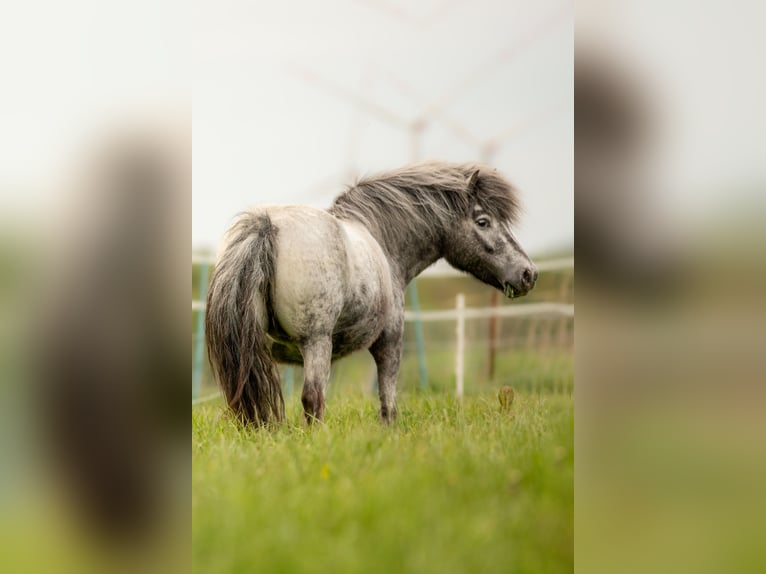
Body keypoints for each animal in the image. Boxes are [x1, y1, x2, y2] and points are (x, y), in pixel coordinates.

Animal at [206, 162, 540, 428]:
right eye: (483, 222)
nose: (528, 274)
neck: (380, 239)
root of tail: (266, 225)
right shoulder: (389, 342)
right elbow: (387, 402)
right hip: (317, 343)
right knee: (313, 399)